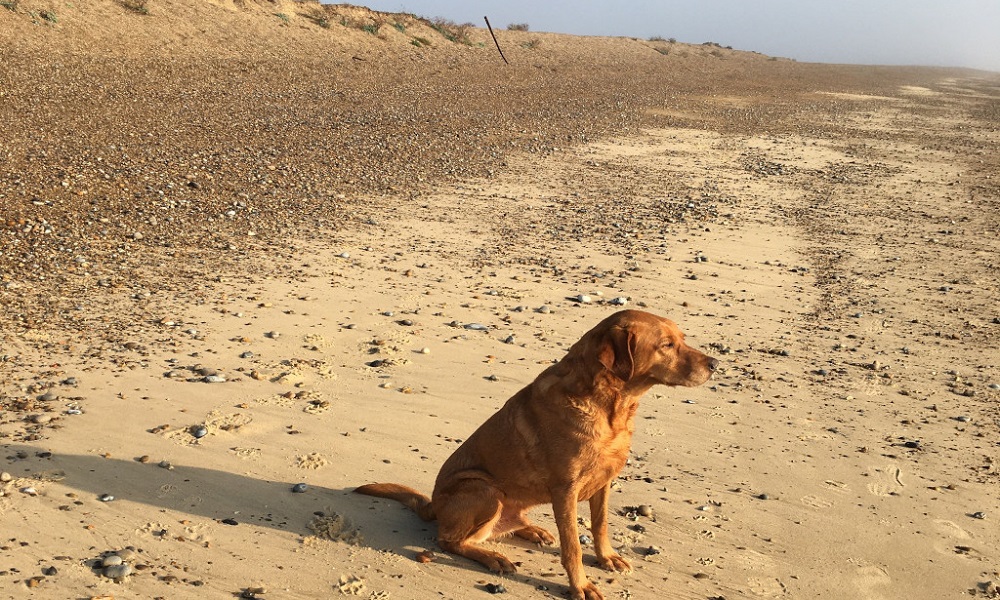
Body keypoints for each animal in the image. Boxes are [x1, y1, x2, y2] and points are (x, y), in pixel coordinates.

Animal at [356, 310, 716, 600]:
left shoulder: (604, 482)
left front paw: (607, 557)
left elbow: (599, 526)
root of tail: (433, 505)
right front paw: (581, 586)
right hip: (483, 489)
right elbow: (572, 546)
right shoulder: (565, 489)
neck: (611, 408)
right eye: (666, 345)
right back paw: (494, 558)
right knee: (449, 541)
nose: (715, 364)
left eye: (682, 339)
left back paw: (532, 530)